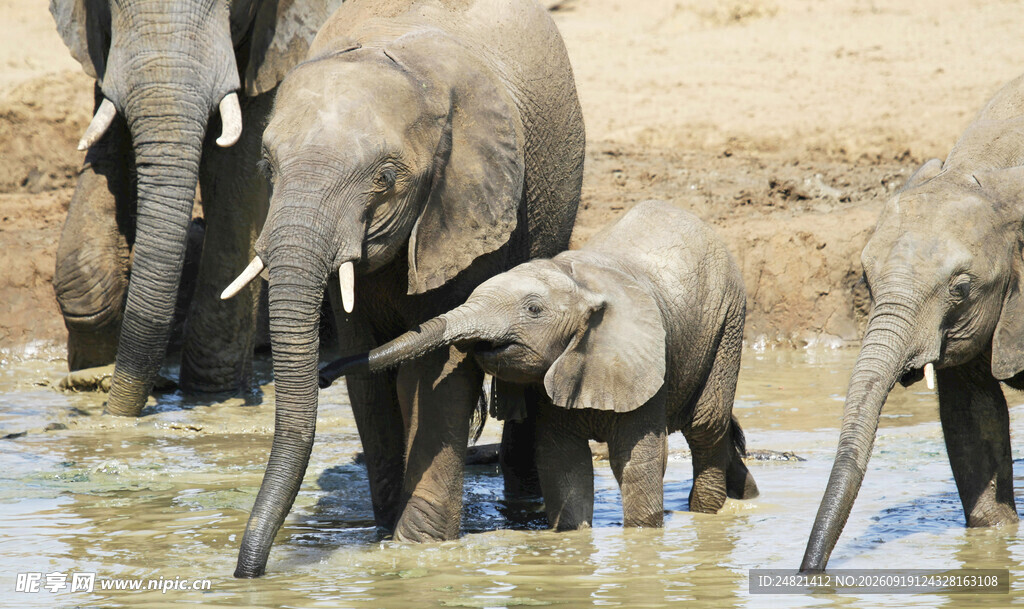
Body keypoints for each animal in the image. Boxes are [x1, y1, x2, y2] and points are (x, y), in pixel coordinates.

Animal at [49, 0, 342, 416]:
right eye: (108, 5)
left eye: (232, 5)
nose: (114, 411)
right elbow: (107, 140)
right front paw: (89, 378)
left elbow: (237, 172)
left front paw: (212, 394)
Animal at [228, 0, 585, 578]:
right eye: (266, 166)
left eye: (386, 179)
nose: (247, 575)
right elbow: (366, 369)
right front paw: (386, 532)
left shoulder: (465, 201)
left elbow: (437, 368)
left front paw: (417, 548)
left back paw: (524, 505)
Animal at [320, 201, 760, 530]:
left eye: (533, 310)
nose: (323, 376)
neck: (579, 284)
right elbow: (564, 465)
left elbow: (638, 464)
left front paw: (643, 540)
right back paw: (749, 496)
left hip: (728, 320)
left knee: (705, 426)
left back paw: (707, 513)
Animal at [801, 73, 1024, 572]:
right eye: (865, 277)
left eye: (961, 287)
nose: (808, 574)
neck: (995, 180)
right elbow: (972, 415)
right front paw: (996, 540)